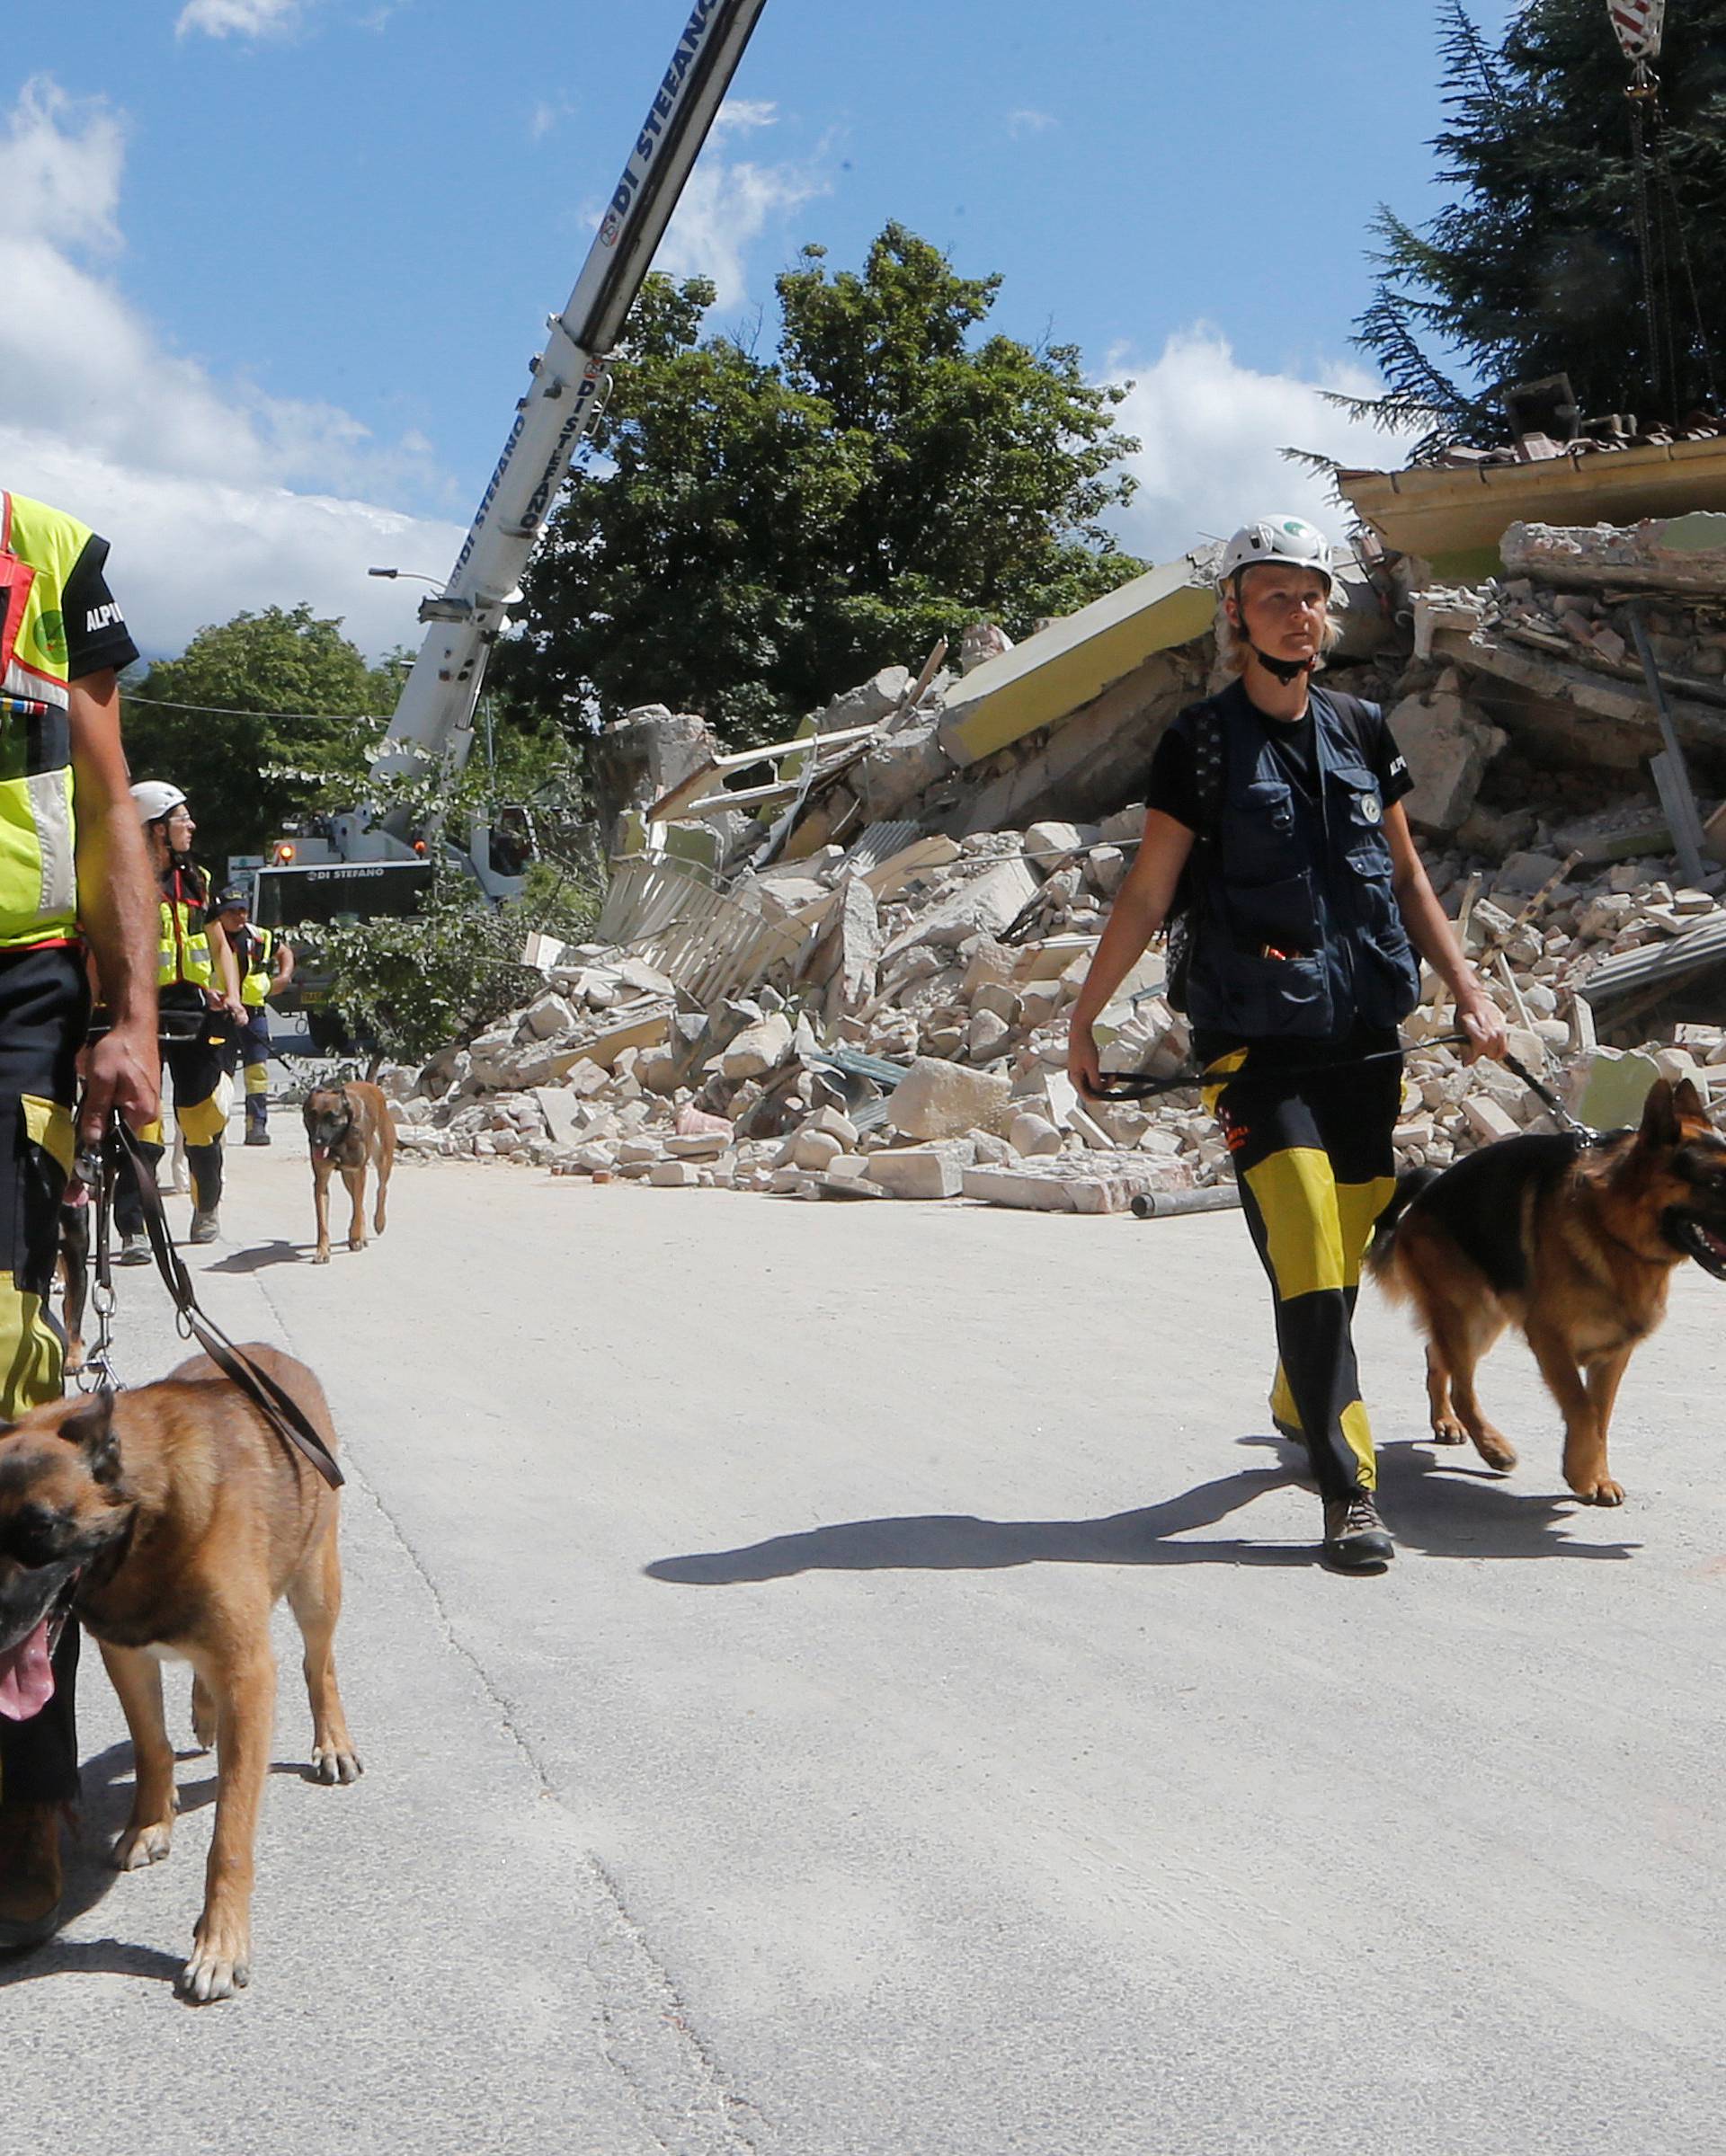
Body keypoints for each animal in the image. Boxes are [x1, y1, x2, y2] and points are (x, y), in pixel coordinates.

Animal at [0, 1344, 360, 2001]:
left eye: (42, 1529)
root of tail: (270, 1353)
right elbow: (152, 1746)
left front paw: (220, 1943)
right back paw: (203, 1714)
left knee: (318, 1664)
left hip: (316, 1586)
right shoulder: (126, 1654)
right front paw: (150, 1821)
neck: (148, 1520)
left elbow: (231, 1835)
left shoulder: (248, 1677)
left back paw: (333, 1742)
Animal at [306, 1078, 396, 1259]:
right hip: (347, 1176)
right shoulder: (321, 1180)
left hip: (383, 1157)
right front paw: (322, 1250)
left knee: (381, 1189)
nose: (317, 1142)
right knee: (358, 1201)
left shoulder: (359, 1172)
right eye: (312, 1115)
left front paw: (355, 1238)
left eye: (332, 1117)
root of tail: (371, 1085)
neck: (340, 1141)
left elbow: (357, 1207)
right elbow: (322, 1220)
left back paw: (379, 1222)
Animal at [1372, 1073, 1726, 1509]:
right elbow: (1582, 1409)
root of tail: (1420, 1203)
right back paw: (1493, 1447)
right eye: (1715, 1182)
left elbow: (1600, 1417)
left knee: (1435, 1356)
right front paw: (1580, 1473)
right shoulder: (1550, 1339)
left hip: (1482, 1321)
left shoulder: (1613, 1356)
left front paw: (1596, 1475)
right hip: (1467, 1317)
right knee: (1462, 1389)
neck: (1611, 1227)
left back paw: (1445, 1422)